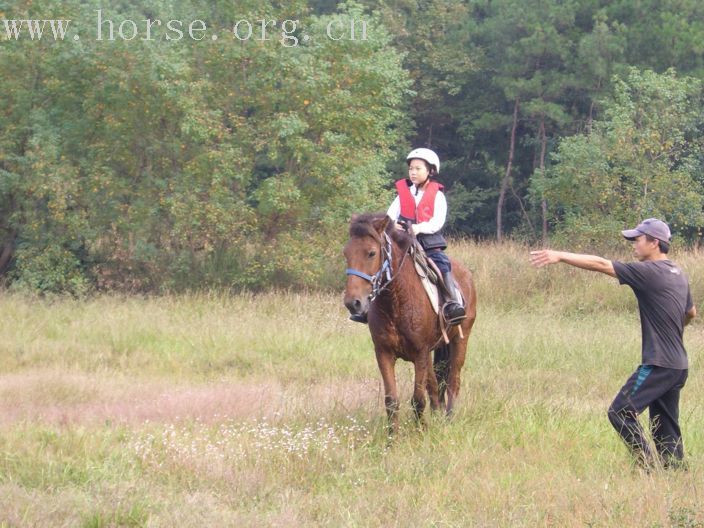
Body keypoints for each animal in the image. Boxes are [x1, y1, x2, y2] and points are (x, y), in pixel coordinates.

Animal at [342, 212, 476, 436]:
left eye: (371, 253)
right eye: (346, 253)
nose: (353, 303)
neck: (395, 301)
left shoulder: (420, 354)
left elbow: (418, 399)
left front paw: (421, 434)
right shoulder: (384, 353)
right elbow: (391, 401)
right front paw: (392, 438)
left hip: (460, 340)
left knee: (452, 382)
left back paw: (448, 419)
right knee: (434, 387)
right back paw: (437, 417)